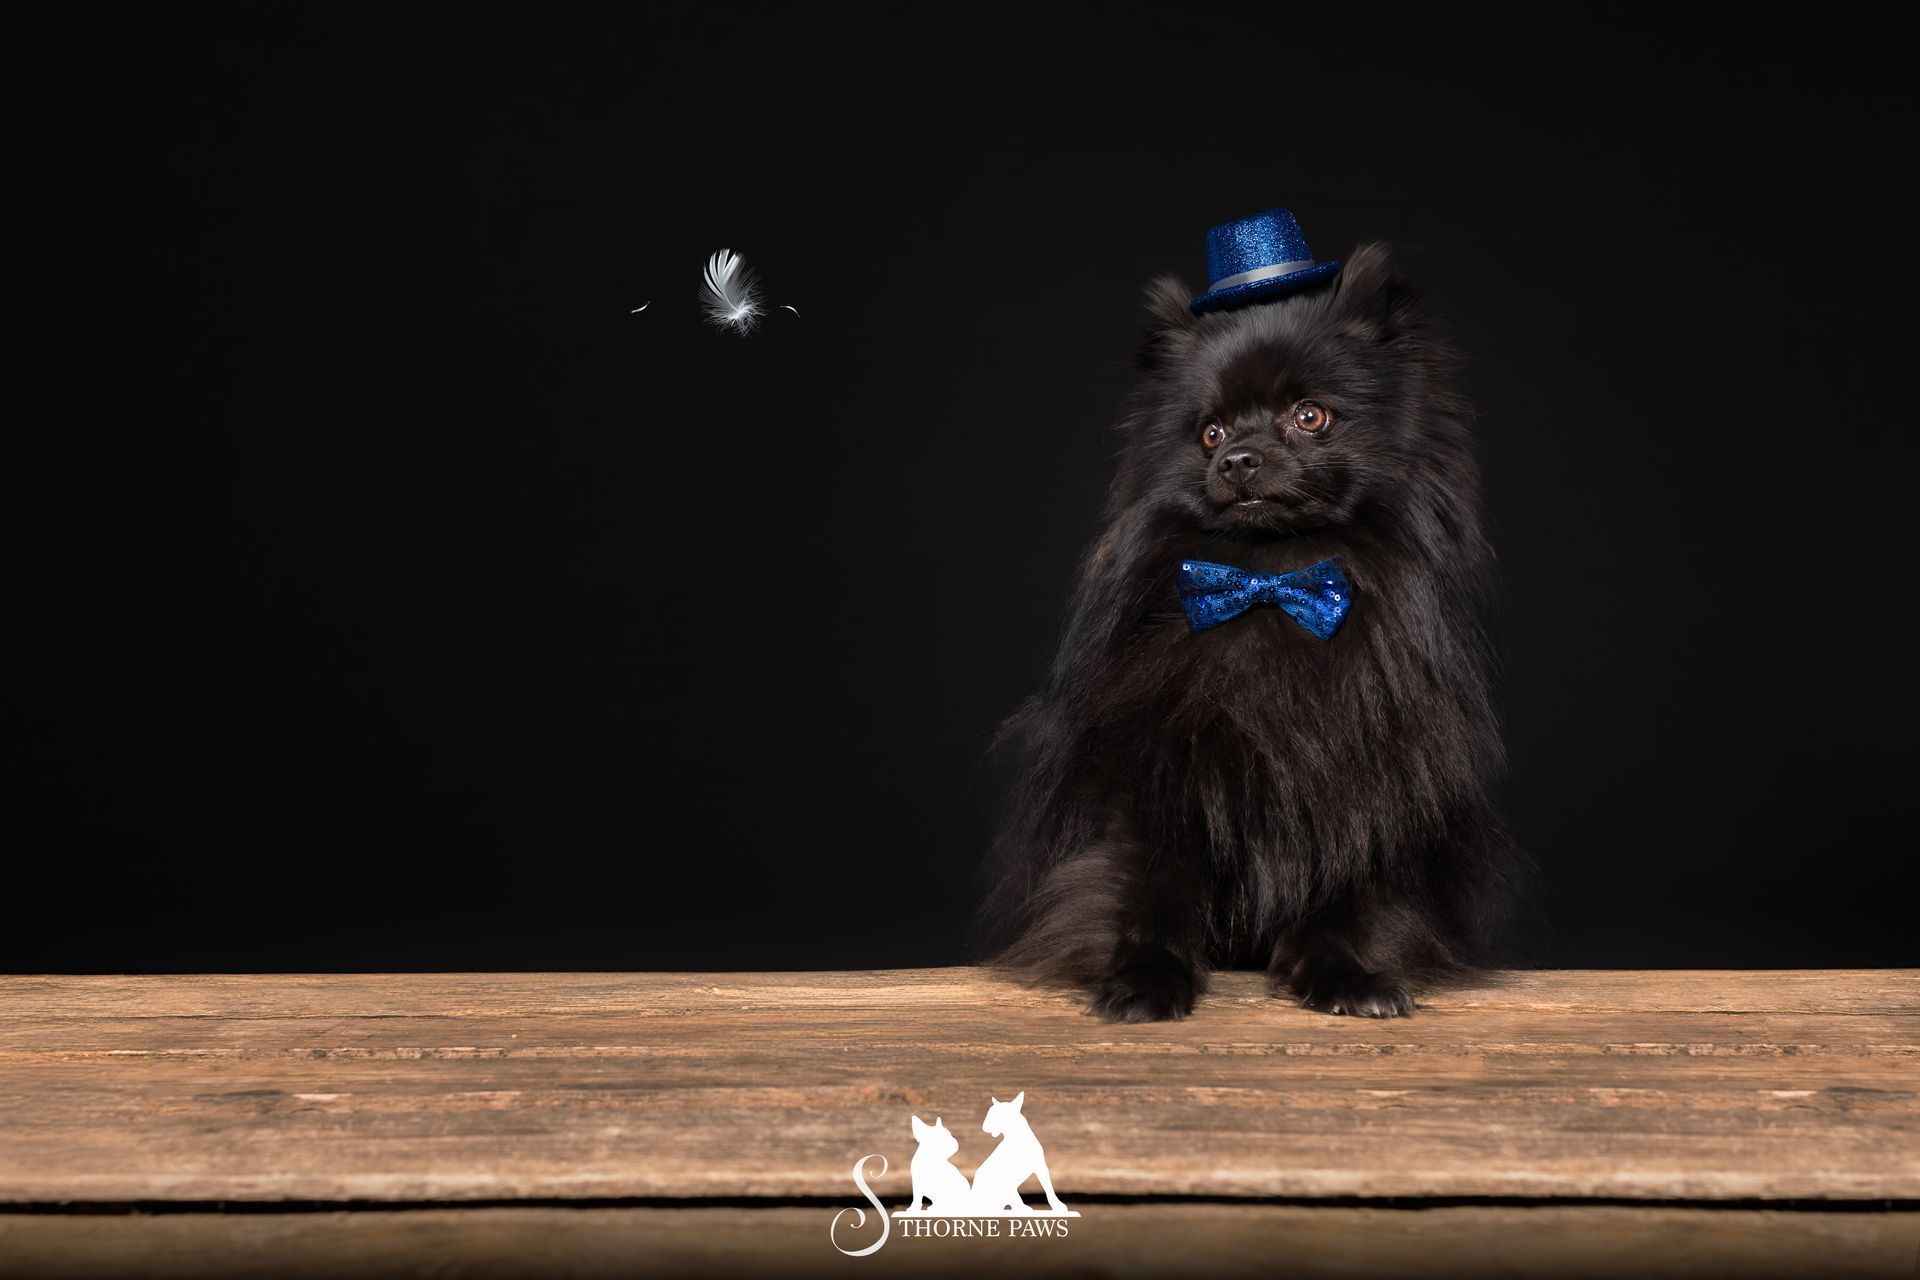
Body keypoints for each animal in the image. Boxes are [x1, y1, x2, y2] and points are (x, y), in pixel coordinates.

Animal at [982, 243, 1523, 1022]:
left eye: (1310, 416)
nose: (1236, 457)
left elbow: (1346, 902)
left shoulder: (1365, 794)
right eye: (1210, 431)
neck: (1269, 581)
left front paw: (1349, 977)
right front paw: (1143, 979)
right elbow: (1148, 893)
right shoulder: (1151, 791)